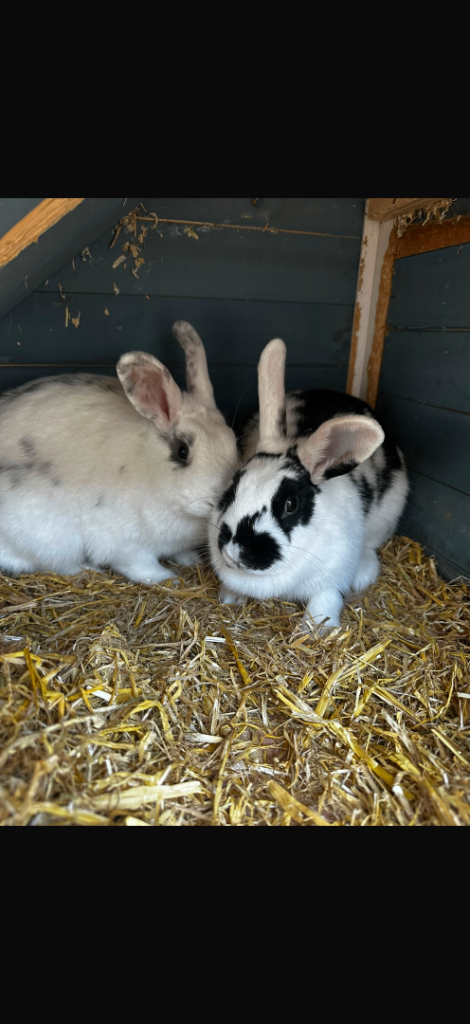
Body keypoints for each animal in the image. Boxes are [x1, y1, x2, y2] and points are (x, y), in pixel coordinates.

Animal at [0, 321, 239, 584]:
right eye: (182, 451)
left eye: (233, 441)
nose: (221, 496)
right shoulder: (125, 544)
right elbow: (142, 567)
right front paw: (170, 579)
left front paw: (191, 559)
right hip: (51, 539)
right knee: (59, 565)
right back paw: (91, 569)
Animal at [208, 337, 409, 631]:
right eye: (232, 489)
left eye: (291, 504)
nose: (235, 552)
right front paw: (230, 598)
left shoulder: (331, 579)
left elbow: (323, 603)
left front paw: (314, 631)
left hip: (387, 514)